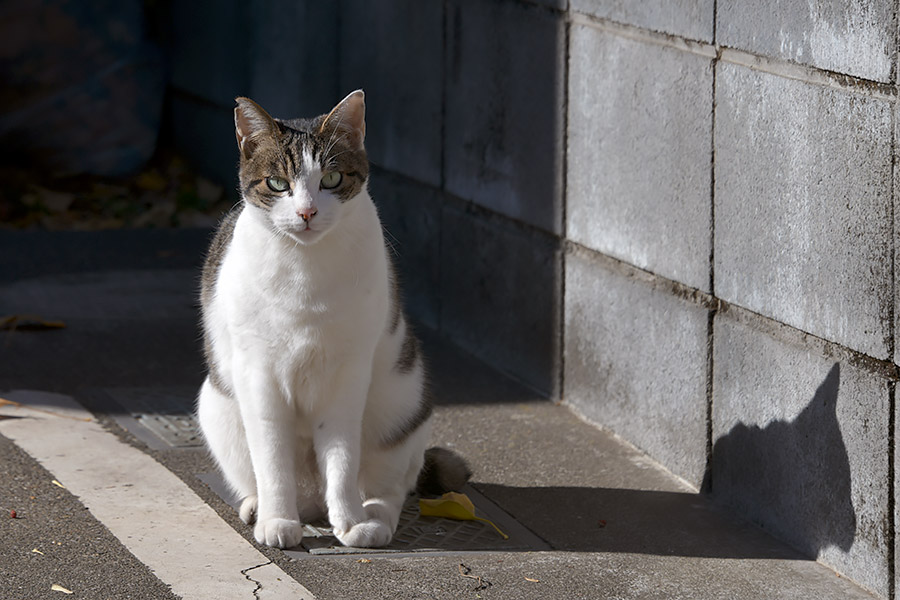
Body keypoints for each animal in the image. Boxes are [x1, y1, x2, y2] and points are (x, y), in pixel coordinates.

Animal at [196, 90, 472, 548]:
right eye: (278, 184)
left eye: (331, 179)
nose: (307, 212)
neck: (305, 271)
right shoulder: (257, 371)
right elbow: (271, 457)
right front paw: (277, 519)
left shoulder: (348, 370)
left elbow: (341, 456)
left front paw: (349, 519)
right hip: (216, 405)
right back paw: (258, 507)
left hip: (403, 409)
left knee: (390, 488)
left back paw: (372, 522)